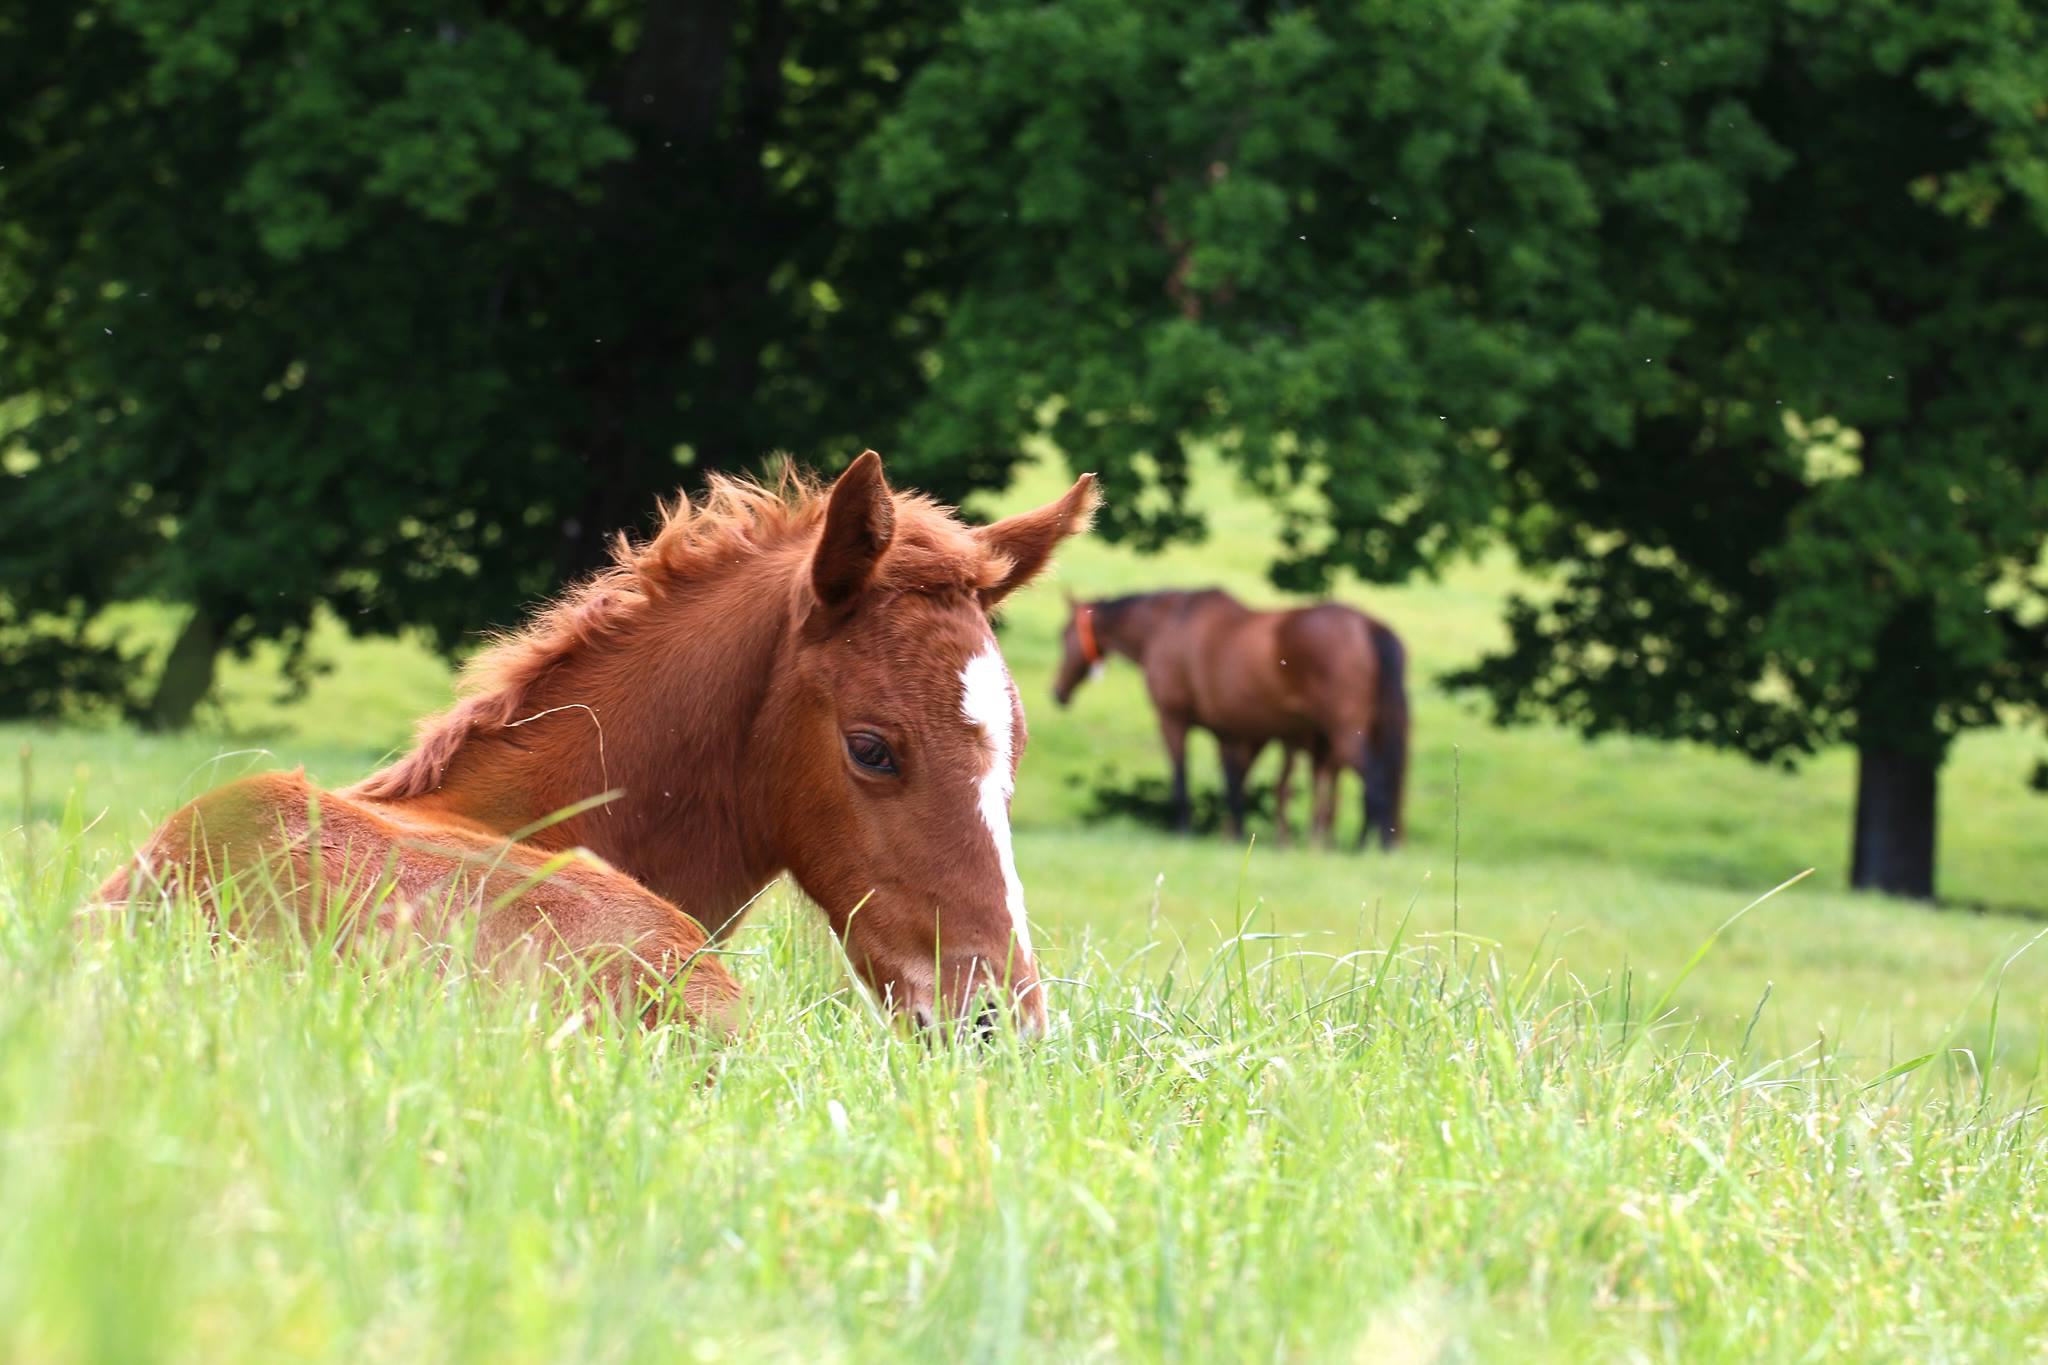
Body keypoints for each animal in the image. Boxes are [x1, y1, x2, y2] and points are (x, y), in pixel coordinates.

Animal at [1052, 589, 1408, 850]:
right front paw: (1235, 836)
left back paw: (1367, 846)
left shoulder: (1173, 718)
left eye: (1063, 634)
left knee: (1374, 780)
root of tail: (1368, 625)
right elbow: (1233, 785)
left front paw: (1184, 830)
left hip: (1344, 731)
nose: (1057, 692)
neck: (1166, 626)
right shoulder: (1228, 731)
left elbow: (1182, 776)